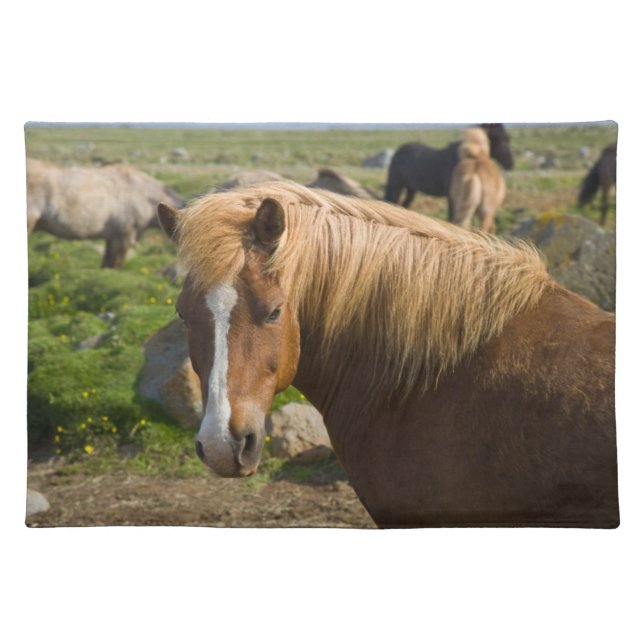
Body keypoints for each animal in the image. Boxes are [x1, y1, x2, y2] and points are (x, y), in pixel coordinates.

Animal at [384, 123, 514, 209]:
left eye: (508, 137)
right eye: (499, 139)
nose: (510, 164)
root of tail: (399, 150)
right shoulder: (453, 197)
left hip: (411, 188)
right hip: (396, 186)